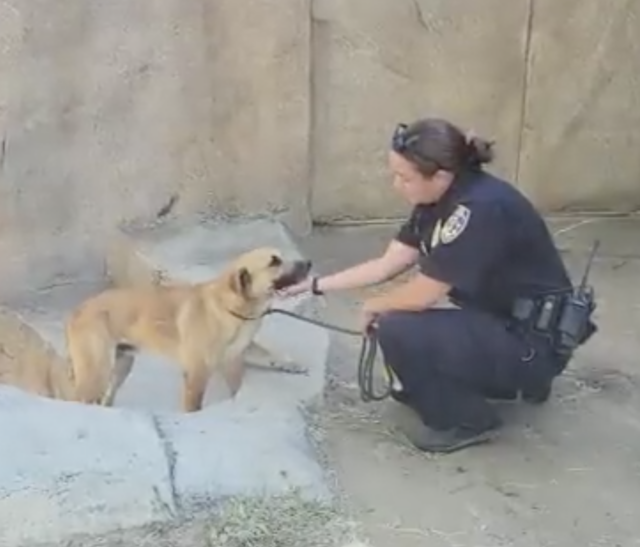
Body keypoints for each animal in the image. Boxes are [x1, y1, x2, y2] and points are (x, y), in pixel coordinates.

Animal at [64, 248, 312, 412]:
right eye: (274, 262)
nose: (309, 263)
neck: (231, 307)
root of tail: (79, 309)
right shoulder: (196, 372)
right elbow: (194, 405)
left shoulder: (237, 354)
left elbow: (266, 355)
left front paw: (291, 364)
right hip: (96, 371)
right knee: (78, 399)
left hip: (121, 366)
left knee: (105, 398)